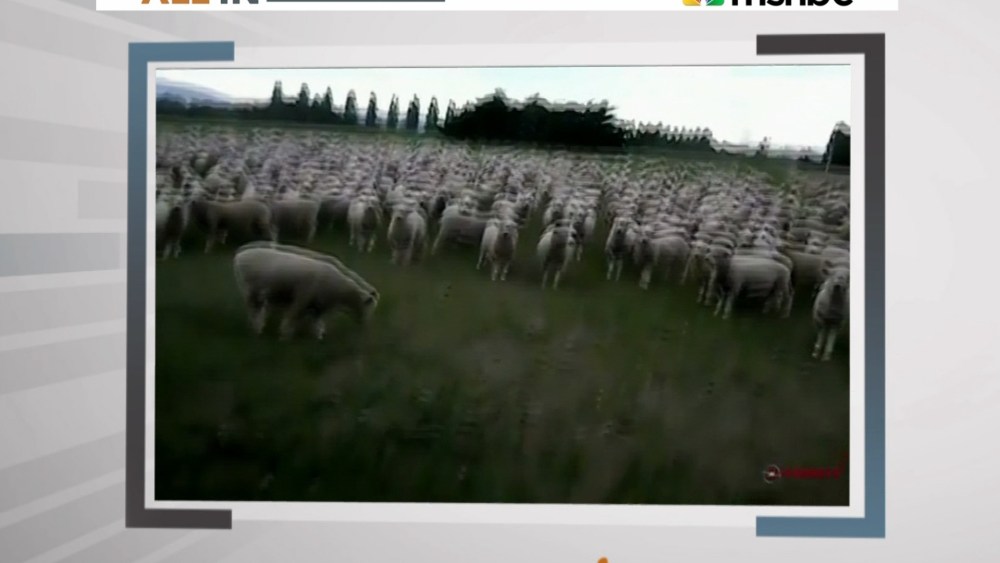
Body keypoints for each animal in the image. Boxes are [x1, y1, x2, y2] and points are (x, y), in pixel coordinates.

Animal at [232, 242, 379, 340]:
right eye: (369, 307)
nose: (364, 325)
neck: (340, 290)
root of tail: (239, 255)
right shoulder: (302, 298)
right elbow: (292, 317)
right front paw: (285, 337)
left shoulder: (319, 305)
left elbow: (316, 324)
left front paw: (319, 339)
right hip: (250, 289)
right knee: (253, 310)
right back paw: (256, 330)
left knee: (257, 309)